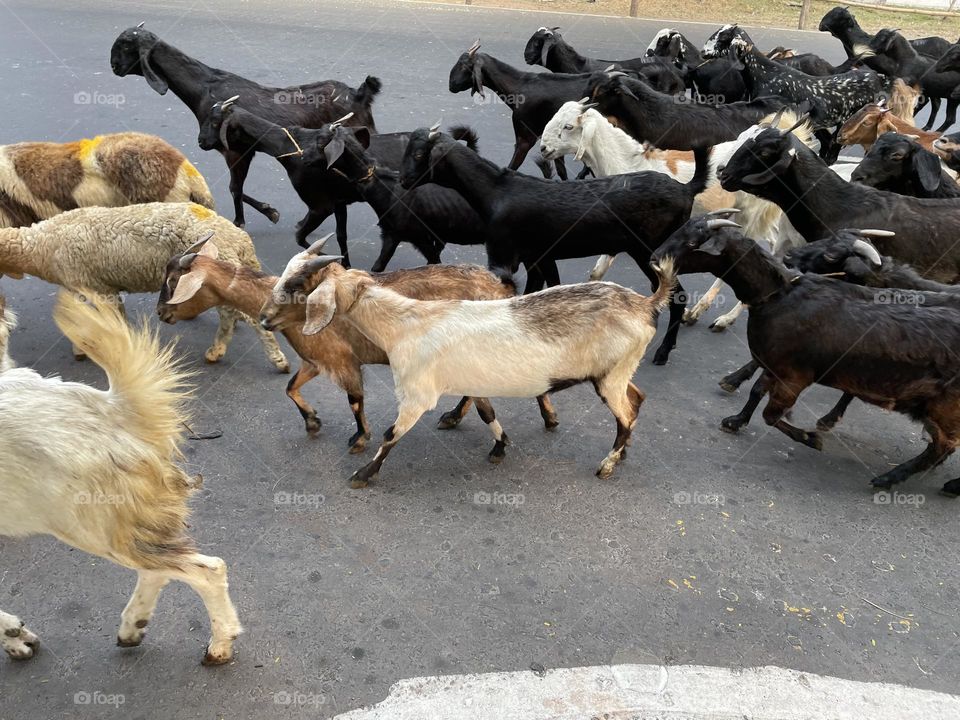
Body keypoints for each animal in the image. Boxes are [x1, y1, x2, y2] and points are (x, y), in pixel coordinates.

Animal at [0, 291, 241, 664]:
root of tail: (111, 407)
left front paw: (14, 636)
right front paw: (15, 636)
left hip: (92, 523)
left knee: (207, 570)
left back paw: (219, 645)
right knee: (160, 567)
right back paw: (133, 626)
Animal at [110, 23, 380, 230]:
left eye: (126, 45)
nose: (113, 66)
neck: (205, 88)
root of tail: (360, 94)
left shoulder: (235, 150)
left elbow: (234, 188)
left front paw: (240, 221)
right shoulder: (241, 151)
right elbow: (236, 188)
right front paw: (269, 210)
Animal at [292, 255, 677, 487]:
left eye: (301, 283)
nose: (279, 301)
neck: (406, 324)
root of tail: (645, 304)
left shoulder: (417, 393)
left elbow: (390, 434)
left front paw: (363, 473)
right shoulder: (472, 382)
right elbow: (487, 412)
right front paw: (500, 447)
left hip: (610, 377)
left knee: (625, 414)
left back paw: (608, 464)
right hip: (619, 371)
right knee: (636, 399)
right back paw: (623, 452)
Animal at [401, 124, 709, 365]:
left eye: (419, 154)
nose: (403, 180)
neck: (497, 191)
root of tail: (686, 189)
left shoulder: (503, 257)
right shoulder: (537, 257)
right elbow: (538, 290)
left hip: (650, 250)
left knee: (678, 296)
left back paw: (663, 352)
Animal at [652, 211, 960, 496]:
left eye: (693, 242)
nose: (655, 259)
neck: (781, 294)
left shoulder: (794, 377)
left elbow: (771, 415)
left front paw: (811, 439)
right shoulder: (775, 366)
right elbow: (756, 391)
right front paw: (736, 420)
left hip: (944, 408)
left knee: (944, 446)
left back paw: (893, 478)